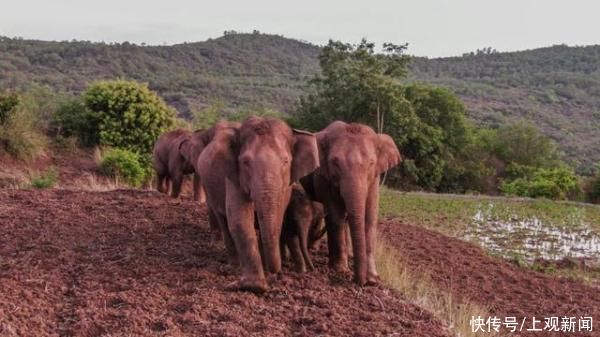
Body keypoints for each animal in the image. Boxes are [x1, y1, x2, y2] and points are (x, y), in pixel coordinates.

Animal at [300, 120, 404, 284]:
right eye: (335, 162)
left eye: (371, 163)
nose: (360, 282)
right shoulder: (324, 177)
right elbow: (335, 216)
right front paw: (340, 271)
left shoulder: (374, 179)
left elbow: (370, 217)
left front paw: (373, 279)